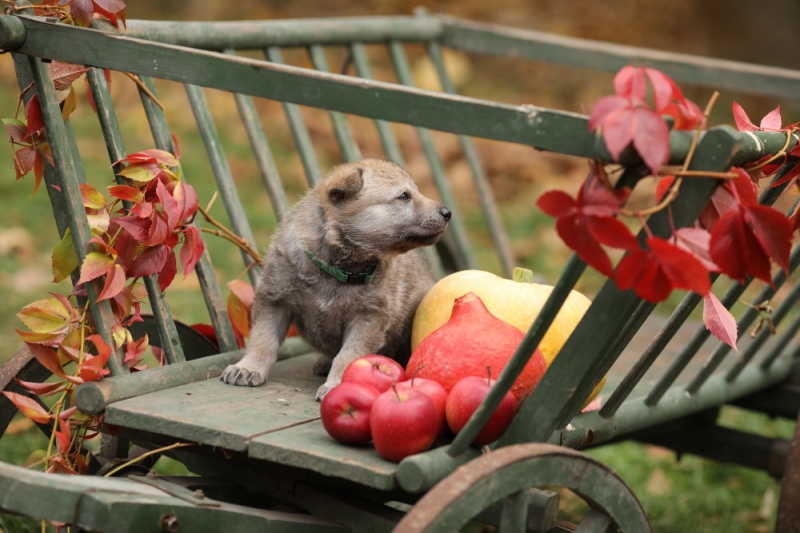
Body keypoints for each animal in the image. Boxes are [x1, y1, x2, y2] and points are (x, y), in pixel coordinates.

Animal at [220, 158, 450, 400]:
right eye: (404, 196)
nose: (447, 213)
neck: (338, 268)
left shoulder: (368, 318)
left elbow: (349, 354)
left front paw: (338, 382)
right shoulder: (274, 300)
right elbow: (263, 339)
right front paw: (248, 367)